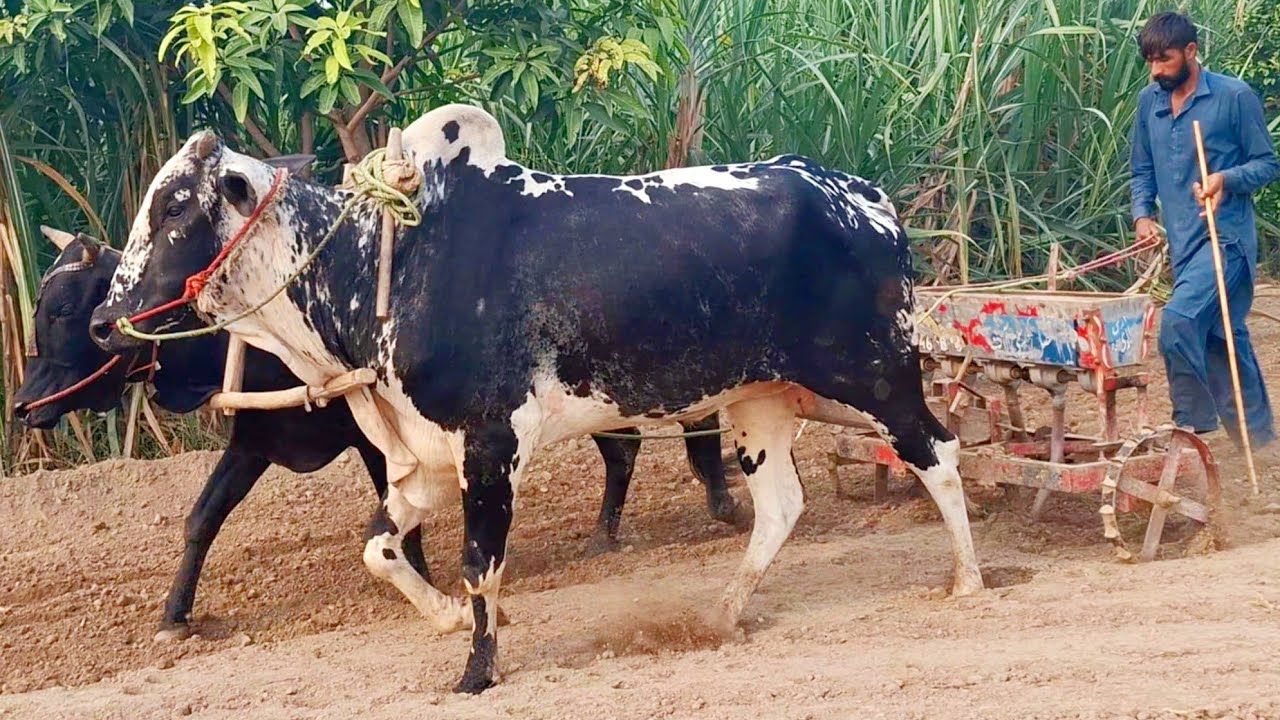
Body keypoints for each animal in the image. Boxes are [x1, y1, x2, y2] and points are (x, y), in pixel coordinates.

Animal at [16, 219, 737, 642]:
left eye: (63, 307)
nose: (22, 406)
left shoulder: (376, 439)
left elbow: (400, 518)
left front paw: (428, 584)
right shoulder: (255, 440)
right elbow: (201, 519)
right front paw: (174, 616)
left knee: (675, 433)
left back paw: (715, 503)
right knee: (625, 451)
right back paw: (608, 533)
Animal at [91, 103, 985, 693]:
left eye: (175, 207)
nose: (104, 320)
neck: (386, 261)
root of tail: (863, 195)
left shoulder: (491, 444)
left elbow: (481, 565)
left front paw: (476, 671)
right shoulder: (422, 457)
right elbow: (380, 551)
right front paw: (450, 622)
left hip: (875, 375)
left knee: (937, 452)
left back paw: (969, 581)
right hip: (757, 403)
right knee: (781, 506)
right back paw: (725, 614)